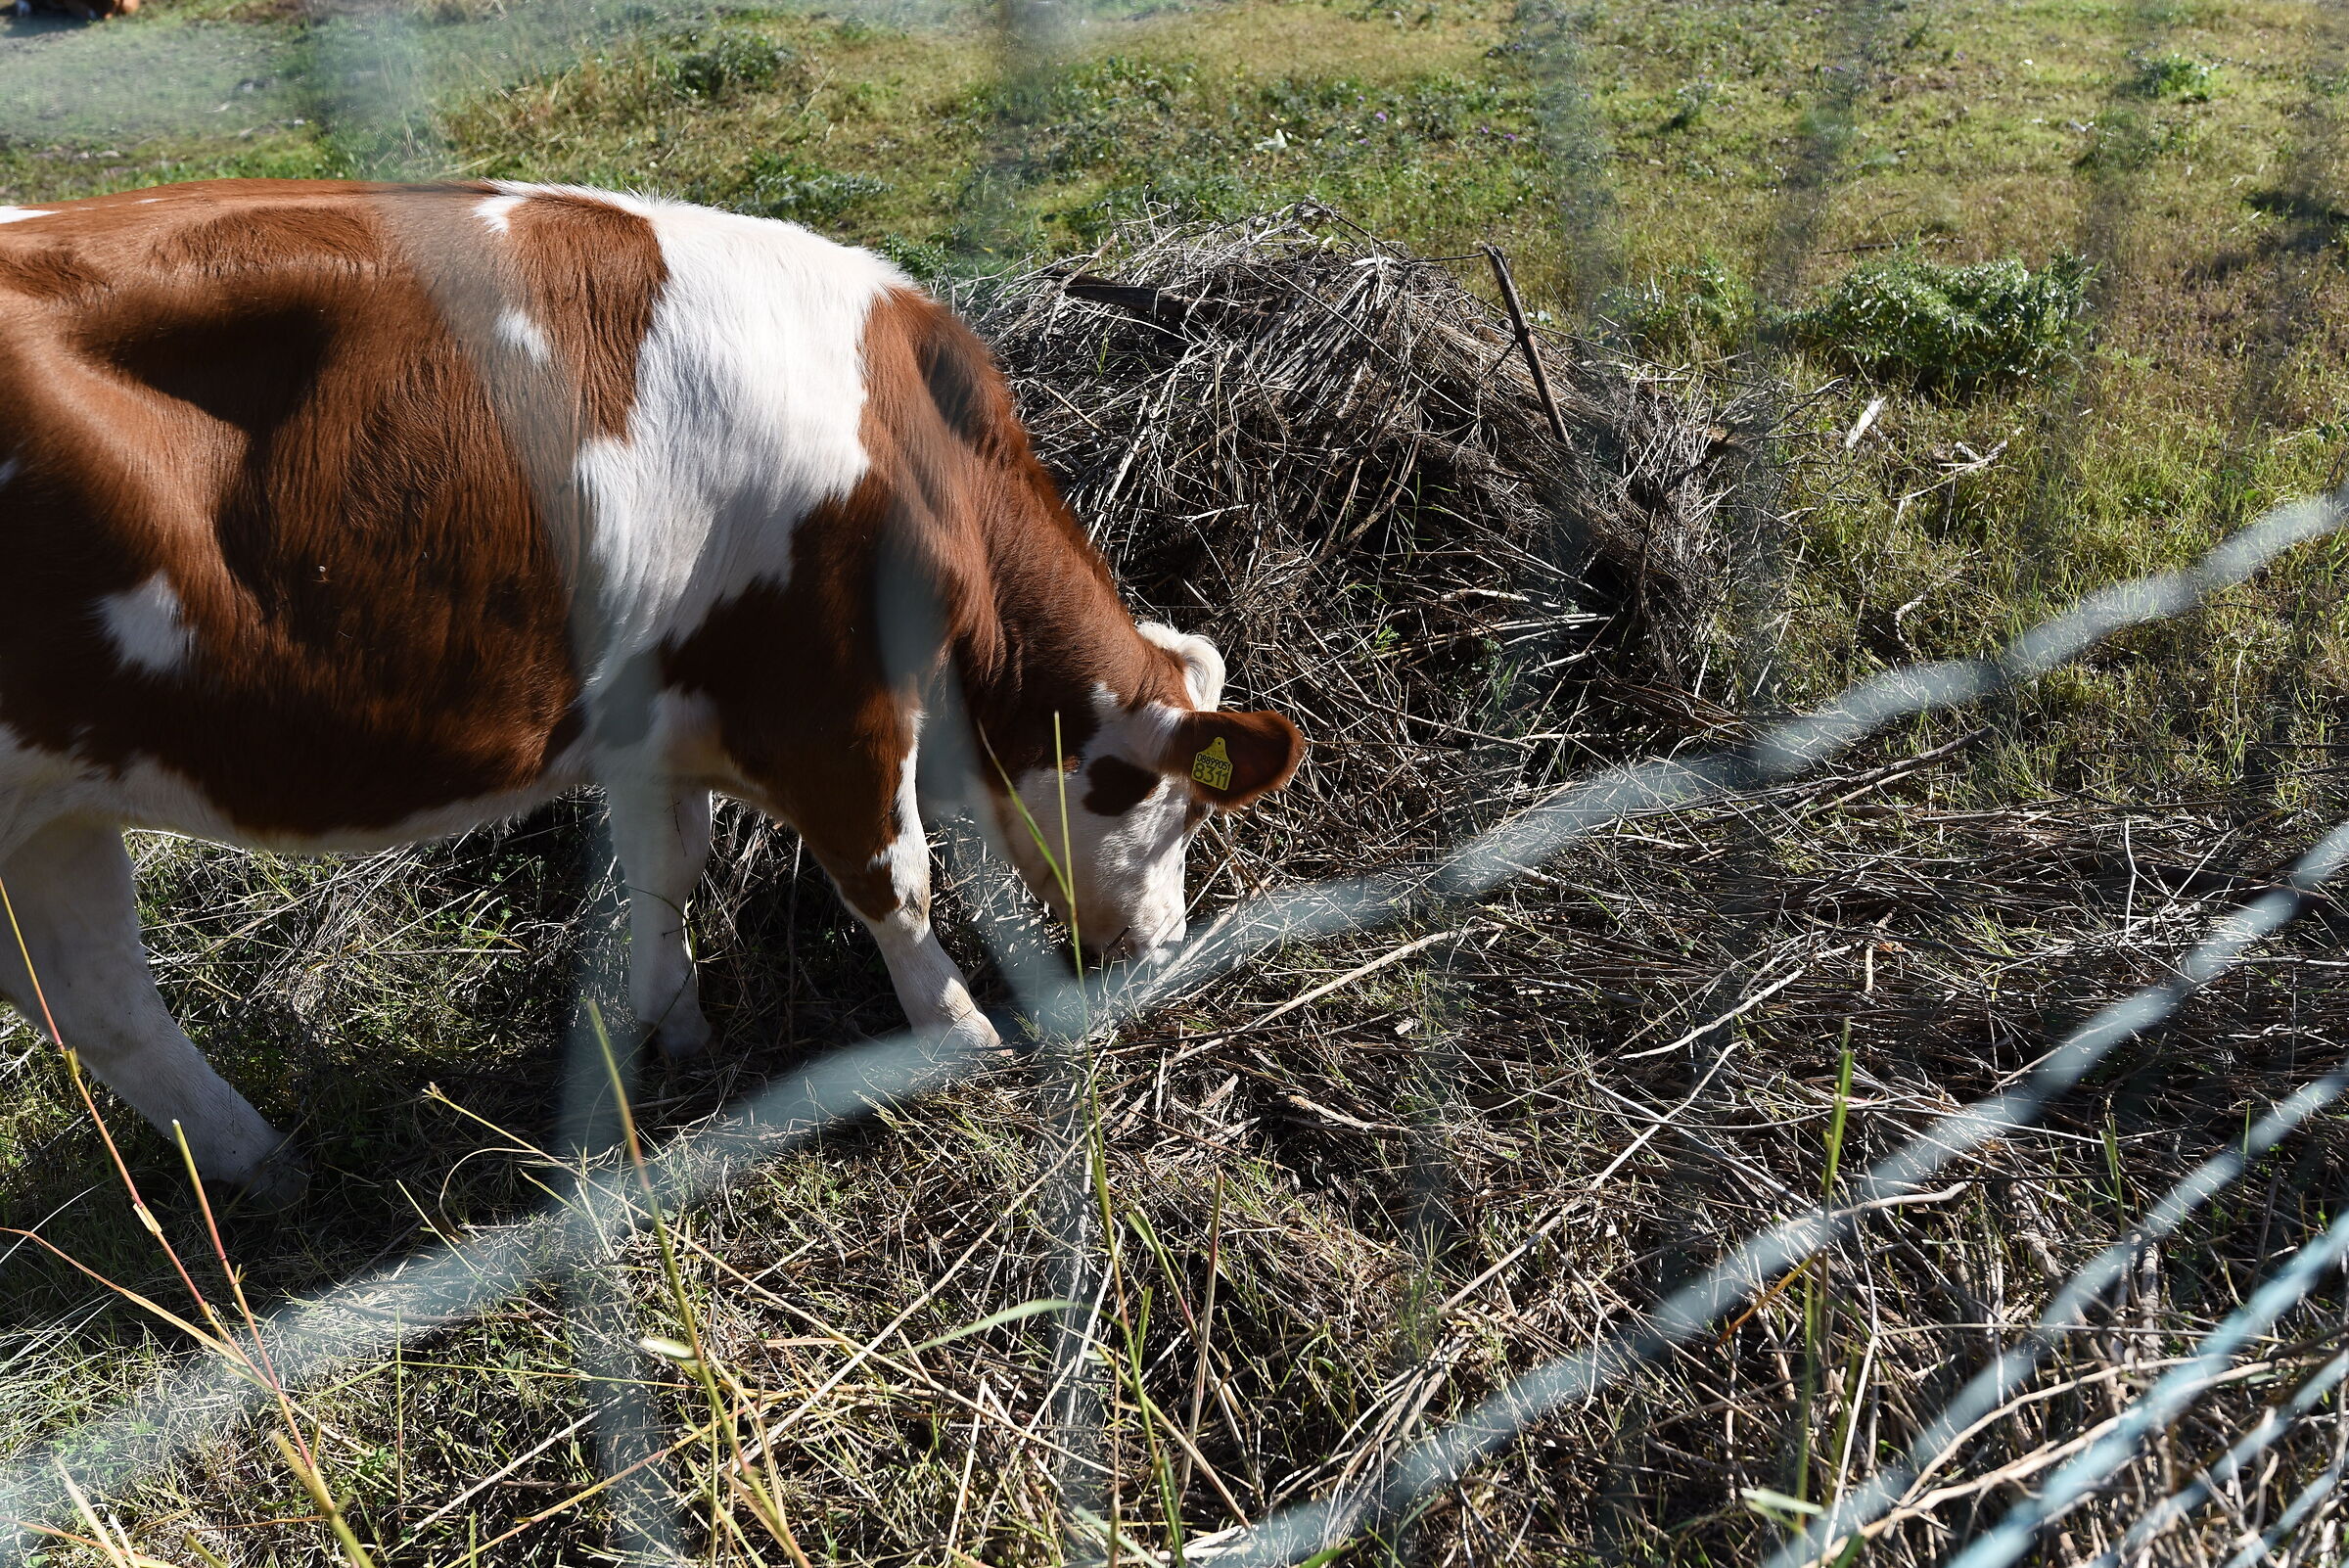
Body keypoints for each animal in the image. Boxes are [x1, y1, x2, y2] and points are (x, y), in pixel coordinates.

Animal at [0, 179, 1304, 1203]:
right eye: (1165, 806)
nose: (1163, 947)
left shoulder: (658, 709)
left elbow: (666, 867)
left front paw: (677, 1029)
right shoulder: (825, 693)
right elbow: (896, 882)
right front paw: (962, 1039)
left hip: (51, 819)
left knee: (96, 1003)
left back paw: (264, 1169)